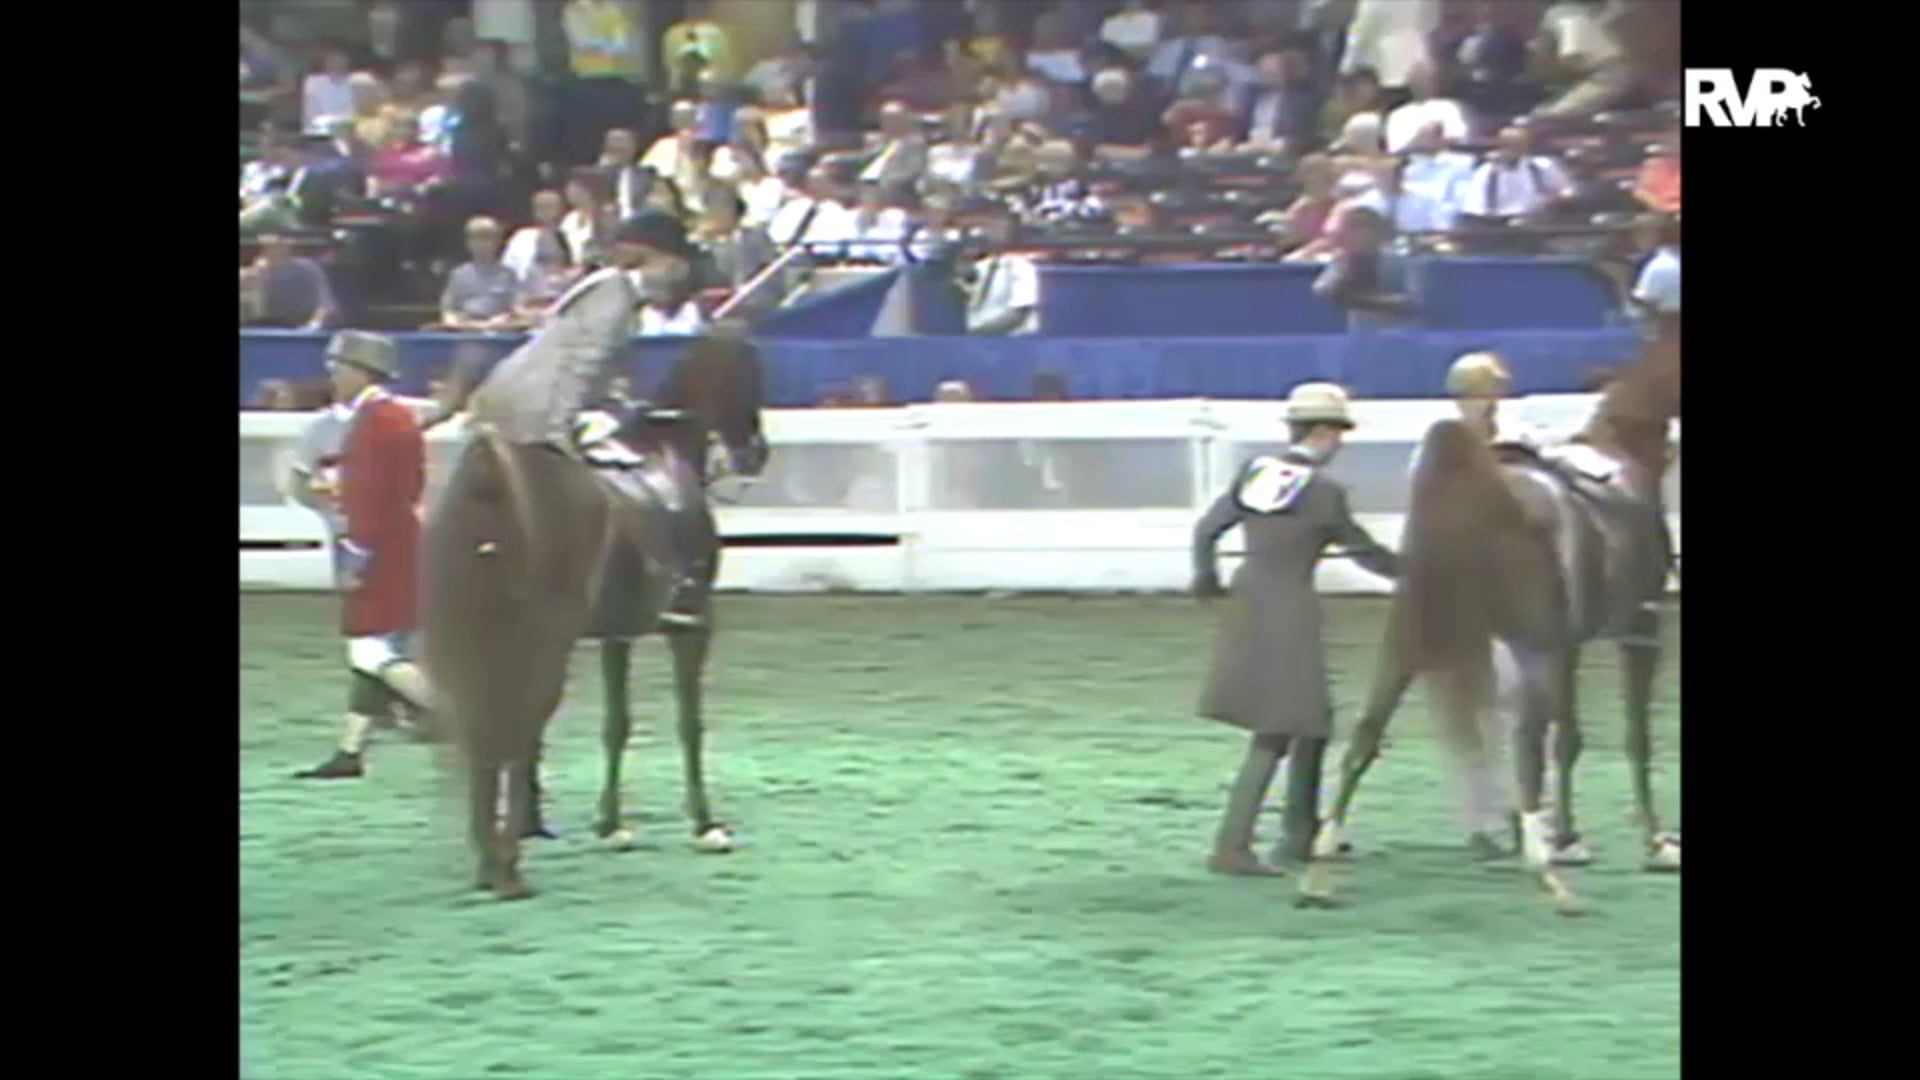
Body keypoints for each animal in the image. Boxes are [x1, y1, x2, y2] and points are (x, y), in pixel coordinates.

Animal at [422, 329, 767, 900]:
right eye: (750, 368)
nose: (756, 452)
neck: (664, 454)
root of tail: (492, 471)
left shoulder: (616, 635)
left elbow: (616, 724)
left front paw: (610, 824)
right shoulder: (695, 623)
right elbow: (689, 723)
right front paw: (705, 824)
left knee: (492, 730)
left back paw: (498, 854)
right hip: (540, 643)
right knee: (518, 728)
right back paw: (508, 863)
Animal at [1317, 337, 1679, 913]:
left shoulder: (1570, 644)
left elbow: (1569, 739)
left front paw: (1570, 839)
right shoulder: (1639, 629)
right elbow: (1634, 739)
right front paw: (1656, 844)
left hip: (1409, 641)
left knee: (1363, 737)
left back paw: (1321, 872)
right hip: (1527, 647)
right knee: (1525, 748)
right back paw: (1548, 879)